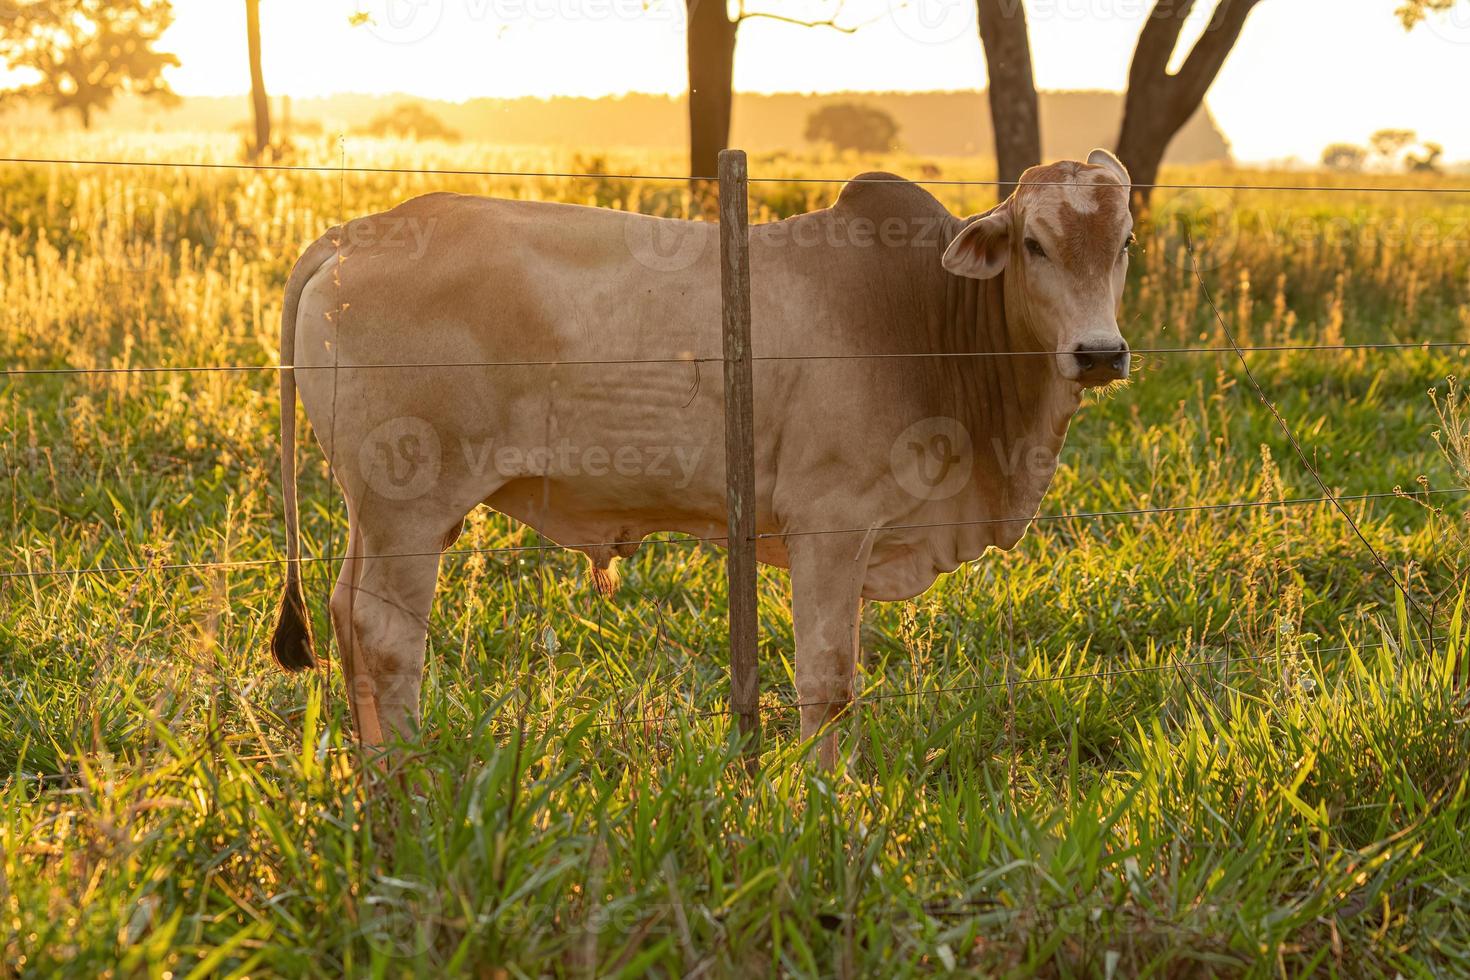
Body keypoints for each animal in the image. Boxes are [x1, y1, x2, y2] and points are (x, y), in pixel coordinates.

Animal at [270, 151, 1128, 764]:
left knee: (347, 617)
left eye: (1123, 243)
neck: (927, 318)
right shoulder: (831, 524)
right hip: (411, 506)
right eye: (1034, 244)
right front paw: (830, 806)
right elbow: (828, 684)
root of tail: (352, 236)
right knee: (386, 639)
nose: (1099, 353)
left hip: (376, 512)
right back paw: (405, 785)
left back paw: (369, 772)